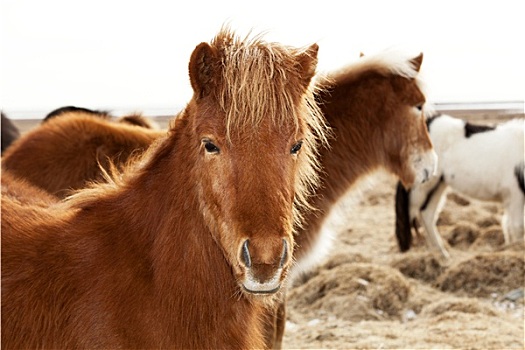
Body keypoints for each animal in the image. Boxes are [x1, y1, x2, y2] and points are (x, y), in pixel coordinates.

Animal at [396, 113, 520, 258]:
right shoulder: (515, 195)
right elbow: (517, 226)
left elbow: (510, 225)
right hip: (421, 188)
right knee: (409, 213)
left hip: (437, 185)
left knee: (427, 215)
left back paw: (442, 255)